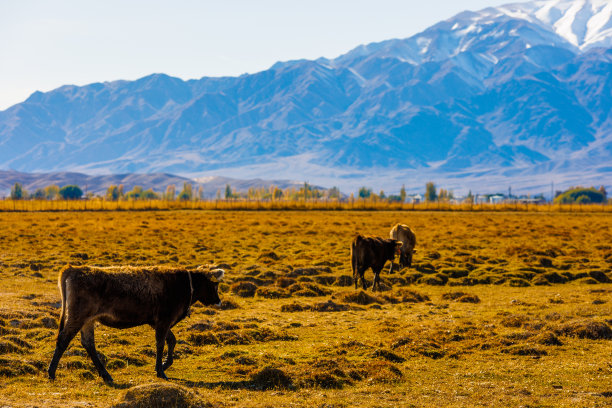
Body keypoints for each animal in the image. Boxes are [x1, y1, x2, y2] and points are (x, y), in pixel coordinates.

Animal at [47, 264, 224, 382]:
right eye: (215, 285)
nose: (219, 301)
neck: (185, 285)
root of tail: (74, 268)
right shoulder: (164, 320)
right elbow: (161, 343)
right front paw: (160, 371)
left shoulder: (157, 322)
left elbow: (172, 340)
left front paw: (165, 364)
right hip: (78, 316)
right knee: (63, 339)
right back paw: (51, 372)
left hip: (88, 320)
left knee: (88, 343)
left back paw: (106, 375)